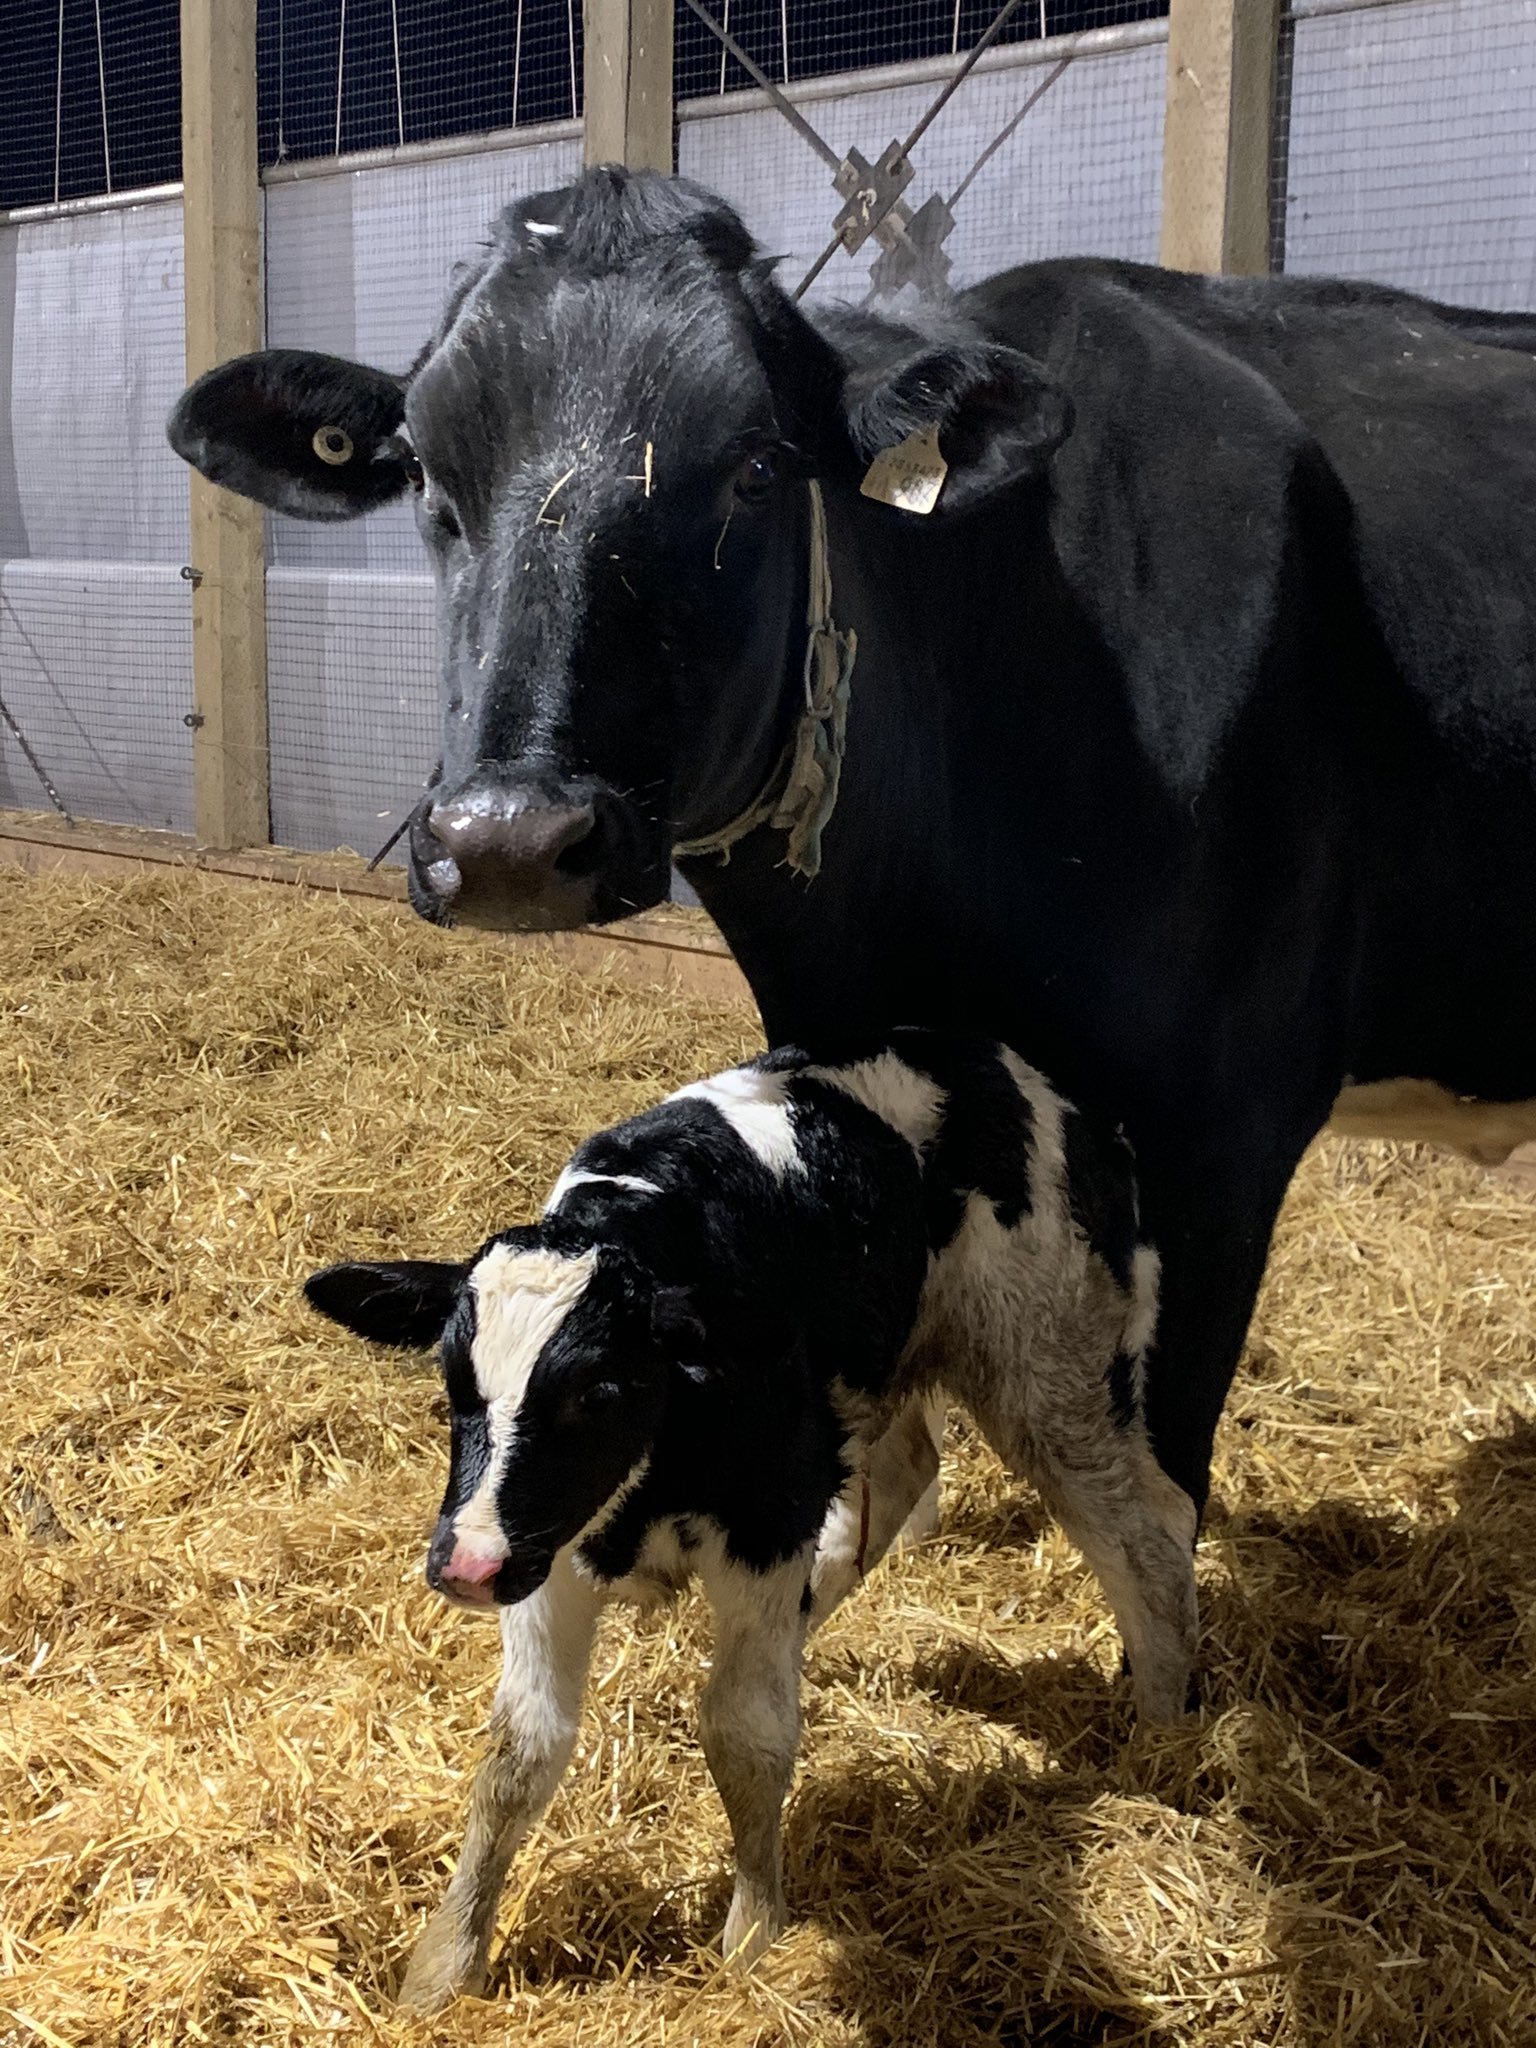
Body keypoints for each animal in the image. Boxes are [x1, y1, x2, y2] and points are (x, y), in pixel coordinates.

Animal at [309, 1040, 1204, 2015]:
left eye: (601, 1390)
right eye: (453, 1382)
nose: (464, 1568)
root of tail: (1028, 1081)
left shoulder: (765, 1516)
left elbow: (745, 1731)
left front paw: (751, 1937)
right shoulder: (548, 1547)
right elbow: (522, 1751)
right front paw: (444, 1969)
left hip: (1049, 1366)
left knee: (1150, 1531)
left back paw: (1162, 1749)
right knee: (904, 1476)